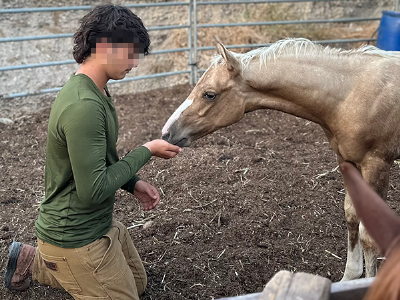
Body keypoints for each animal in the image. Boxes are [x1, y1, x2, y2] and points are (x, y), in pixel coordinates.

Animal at [161, 38, 400, 282]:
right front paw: (350, 277)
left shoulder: (377, 164)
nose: (167, 132)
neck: (349, 93)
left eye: (209, 94)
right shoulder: (346, 160)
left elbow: (369, 235)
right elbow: (351, 215)